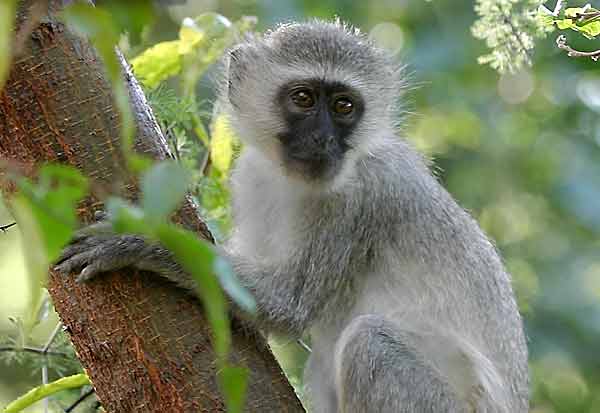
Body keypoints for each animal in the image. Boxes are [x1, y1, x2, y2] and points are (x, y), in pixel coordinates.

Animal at [55, 20, 524, 413]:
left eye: (344, 106)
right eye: (303, 98)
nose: (322, 140)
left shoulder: (358, 198)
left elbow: (286, 304)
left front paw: (140, 241)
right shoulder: (250, 177)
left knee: (368, 342)